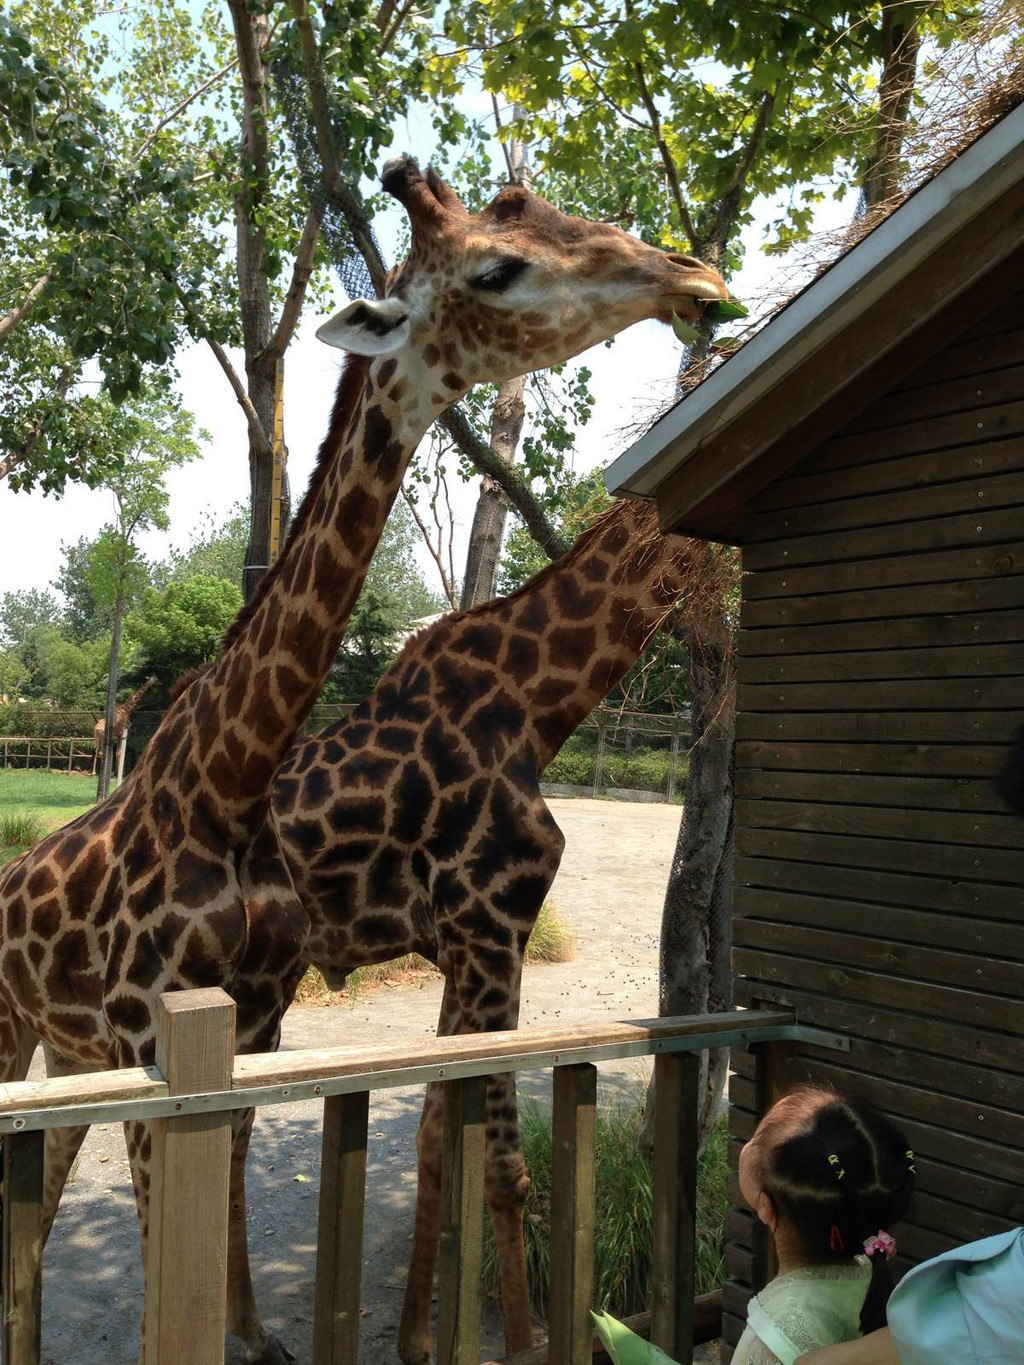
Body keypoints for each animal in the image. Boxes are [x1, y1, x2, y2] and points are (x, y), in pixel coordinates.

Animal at [0, 162, 731, 1365]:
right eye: (497, 267)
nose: (696, 277)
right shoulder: (467, 934)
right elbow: (489, 1157)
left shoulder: (331, 992)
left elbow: (441, 1134)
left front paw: (399, 1339)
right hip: (39, 1029)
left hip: (76, 1045)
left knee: (46, 1189)